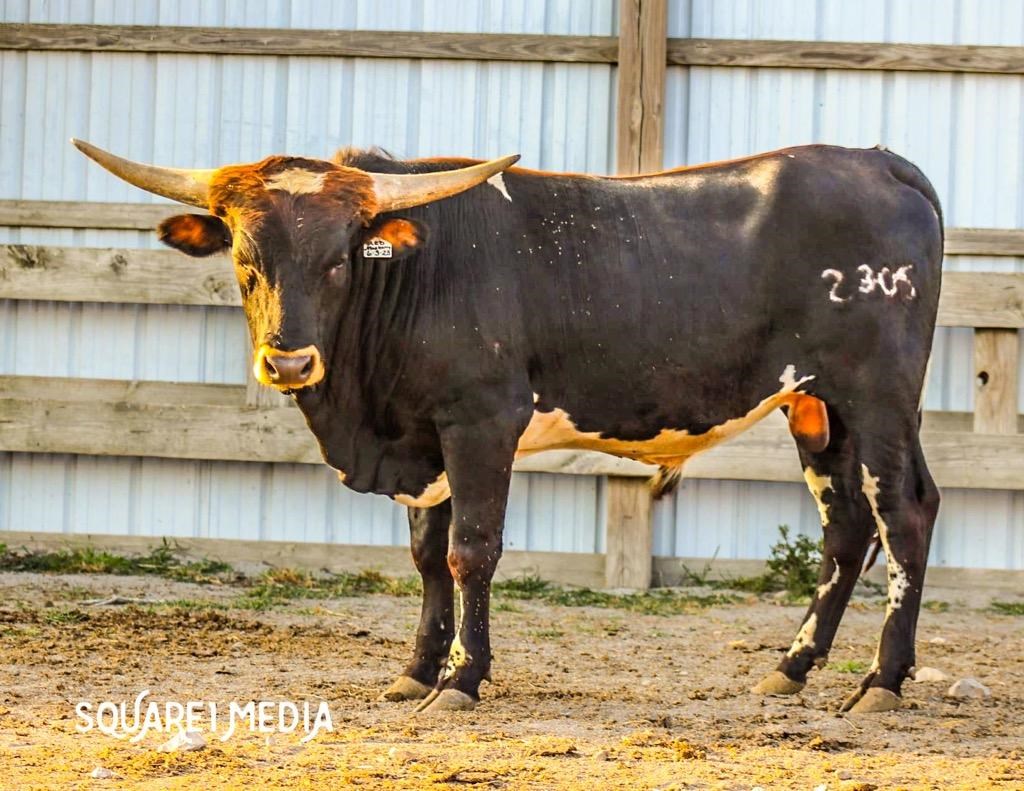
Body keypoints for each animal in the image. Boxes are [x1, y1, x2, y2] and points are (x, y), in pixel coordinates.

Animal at [72, 138, 942, 716]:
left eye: (340, 259)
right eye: (244, 259)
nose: (288, 361)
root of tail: (879, 161)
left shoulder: (482, 420)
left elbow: (470, 551)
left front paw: (461, 679)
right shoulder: (422, 438)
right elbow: (427, 557)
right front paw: (416, 669)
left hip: (881, 396)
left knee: (902, 515)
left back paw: (881, 681)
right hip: (819, 409)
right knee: (847, 527)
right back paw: (793, 666)